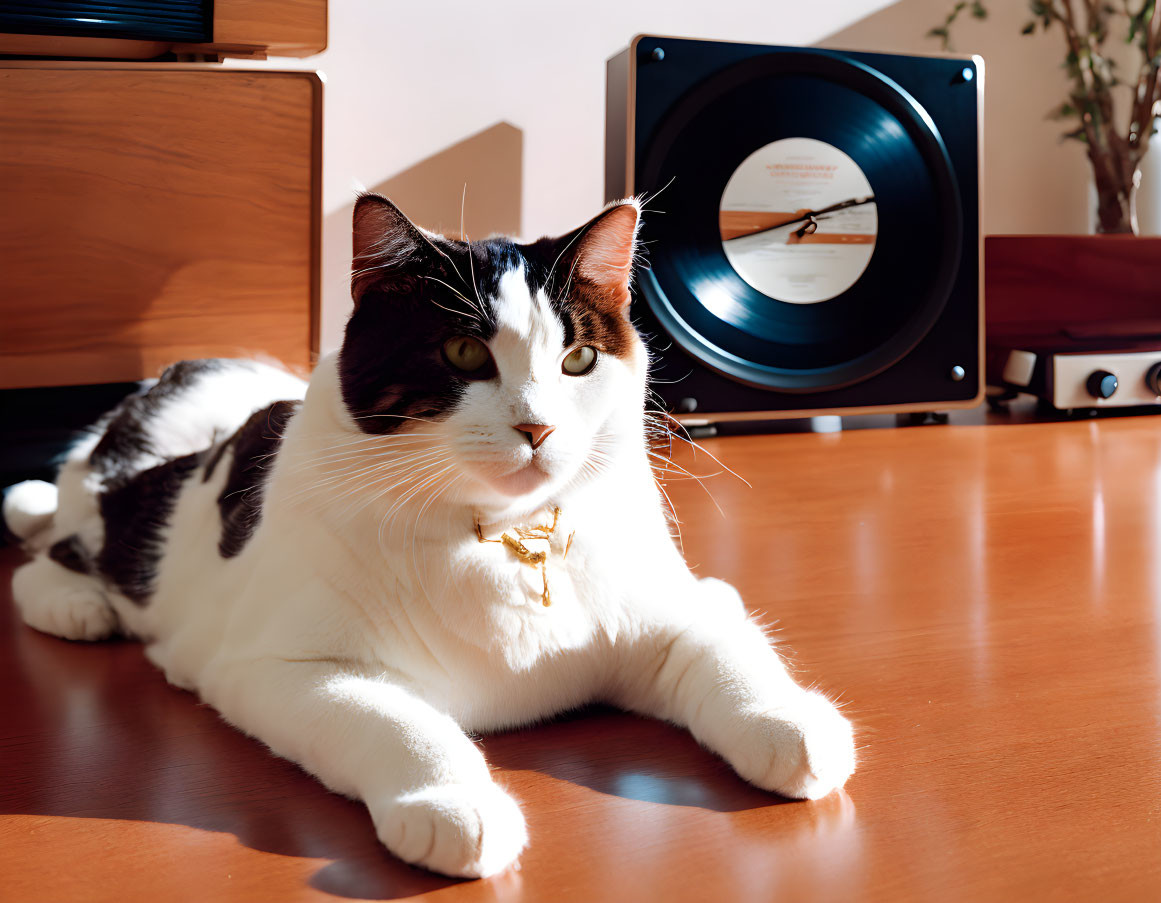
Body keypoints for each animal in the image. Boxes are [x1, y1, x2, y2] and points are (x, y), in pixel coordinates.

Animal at [6, 194, 854, 872]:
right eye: (463, 352)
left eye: (577, 357)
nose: (538, 427)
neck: (503, 537)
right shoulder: (280, 665)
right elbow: (399, 723)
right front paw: (456, 803)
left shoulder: (677, 607)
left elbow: (727, 654)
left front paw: (793, 722)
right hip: (122, 510)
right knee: (54, 543)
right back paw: (75, 602)